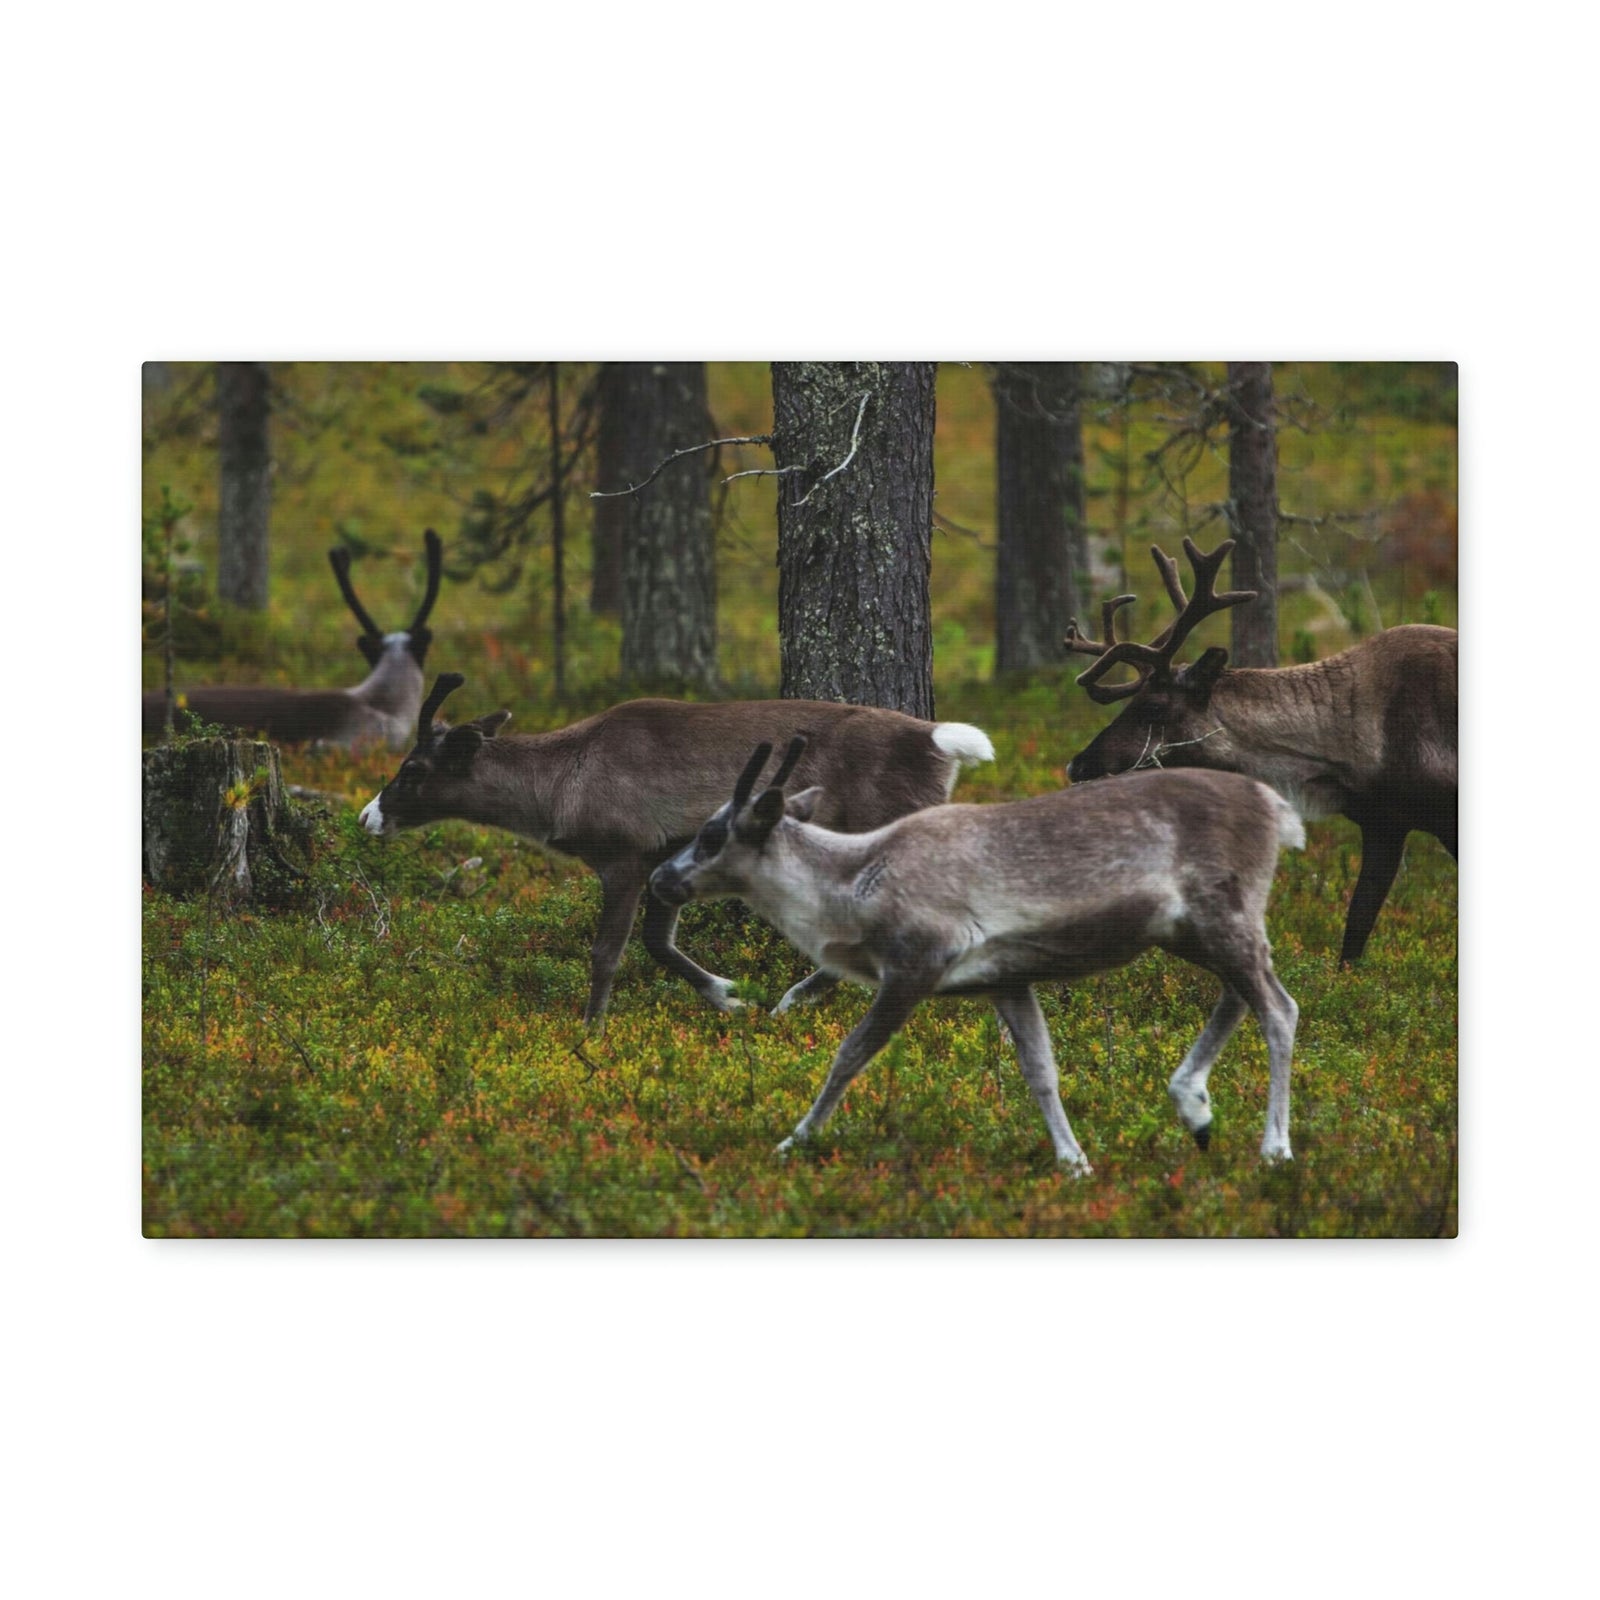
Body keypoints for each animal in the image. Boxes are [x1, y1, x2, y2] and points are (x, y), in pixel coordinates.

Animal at [357, 673, 996, 1024]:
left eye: (413, 769)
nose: (368, 816)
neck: (559, 787)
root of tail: (938, 741)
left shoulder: (623, 856)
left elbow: (608, 952)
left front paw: (590, 1031)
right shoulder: (662, 859)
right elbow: (658, 943)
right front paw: (728, 998)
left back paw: (796, 998)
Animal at [649, 738, 1303, 1171]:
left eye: (711, 835)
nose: (659, 878)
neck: (851, 886)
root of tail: (1277, 807)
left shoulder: (914, 964)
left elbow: (849, 1055)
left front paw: (794, 1140)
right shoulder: (1006, 981)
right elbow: (1041, 1071)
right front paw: (1074, 1161)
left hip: (1222, 915)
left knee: (1279, 1008)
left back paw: (1275, 1147)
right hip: (1193, 930)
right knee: (1240, 995)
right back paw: (1194, 1107)